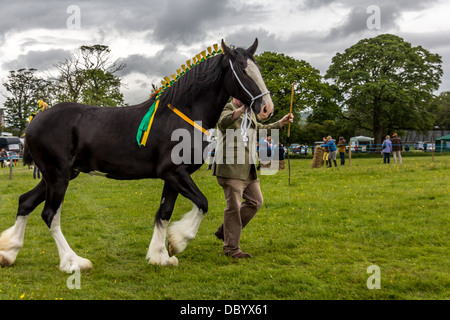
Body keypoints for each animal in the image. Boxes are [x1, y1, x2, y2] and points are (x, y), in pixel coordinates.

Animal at [0, 38, 274, 272]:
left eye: (257, 69)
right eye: (243, 72)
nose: (266, 109)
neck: (183, 114)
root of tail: (34, 122)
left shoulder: (173, 177)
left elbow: (164, 213)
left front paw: (160, 256)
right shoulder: (174, 173)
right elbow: (202, 204)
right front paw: (178, 242)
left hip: (56, 175)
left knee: (25, 202)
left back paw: (9, 252)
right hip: (58, 176)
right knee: (49, 214)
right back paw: (73, 261)